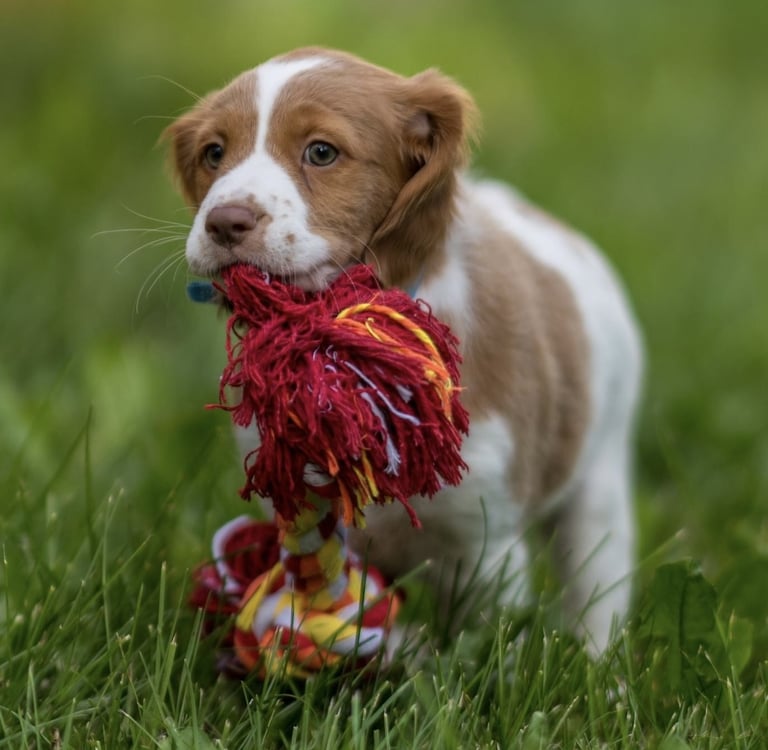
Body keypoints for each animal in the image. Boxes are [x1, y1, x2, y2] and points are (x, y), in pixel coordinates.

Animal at [164, 47, 643, 653]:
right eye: (214, 153)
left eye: (321, 152)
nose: (224, 221)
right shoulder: (306, 514)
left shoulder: (484, 545)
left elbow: (483, 647)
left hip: (599, 477)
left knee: (597, 585)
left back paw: (601, 666)